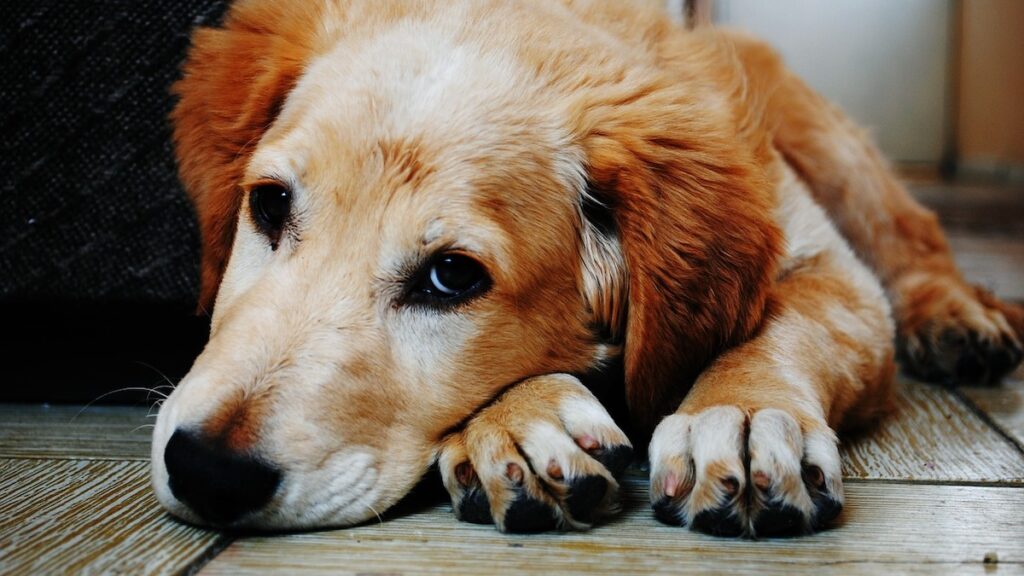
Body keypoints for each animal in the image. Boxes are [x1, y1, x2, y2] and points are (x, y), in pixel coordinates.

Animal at [151, 0, 1024, 537]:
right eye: (269, 206)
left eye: (452, 278)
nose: (205, 471)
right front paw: (522, 421)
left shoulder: (832, 272)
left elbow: (784, 330)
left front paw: (741, 414)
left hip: (831, 147)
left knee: (913, 236)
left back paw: (958, 318)